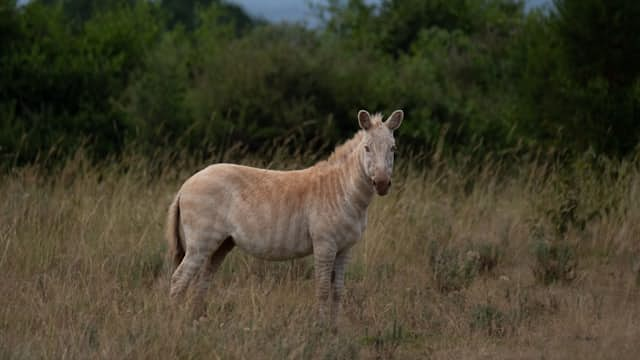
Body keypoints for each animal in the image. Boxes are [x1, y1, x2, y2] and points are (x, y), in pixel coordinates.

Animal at [166, 108, 404, 324]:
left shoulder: (346, 248)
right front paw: (321, 330)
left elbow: (338, 291)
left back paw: (197, 321)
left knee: (203, 280)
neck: (343, 191)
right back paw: (175, 325)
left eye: (393, 148)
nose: (382, 184)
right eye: (367, 148)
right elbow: (322, 289)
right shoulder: (324, 244)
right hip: (201, 242)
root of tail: (186, 184)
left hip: (222, 244)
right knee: (179, 280)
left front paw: (335, 330)